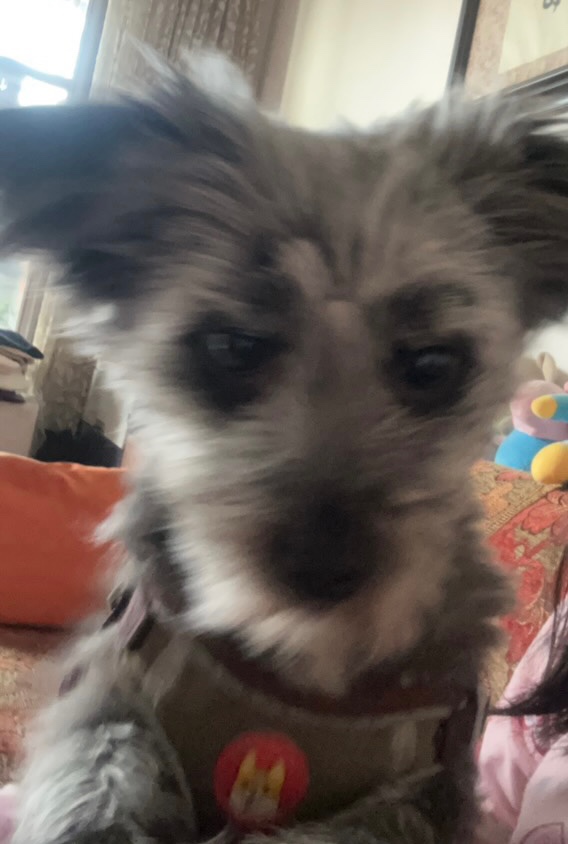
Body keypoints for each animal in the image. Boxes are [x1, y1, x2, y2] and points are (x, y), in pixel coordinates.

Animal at [1, 55, 568, 844]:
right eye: (232, 346)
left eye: (433, 363)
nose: (324, 569)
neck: (299, 665)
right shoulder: (109, 697)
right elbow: (96, 784)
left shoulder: (429, 791)